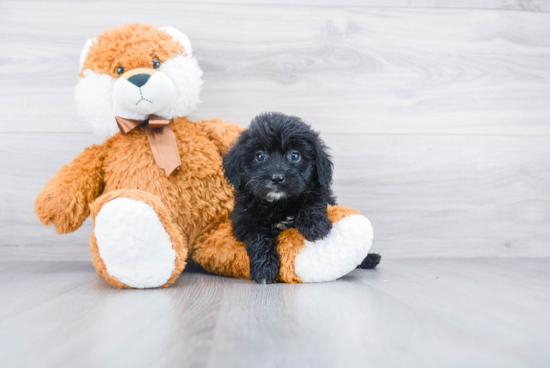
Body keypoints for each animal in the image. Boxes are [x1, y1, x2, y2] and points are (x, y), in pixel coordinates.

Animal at [223, 113, 380, 284]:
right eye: (260, 156)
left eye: (295, 155)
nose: (277, 178)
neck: (279, 205)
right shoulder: (244, 221)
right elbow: (259, 237)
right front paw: (264, 269)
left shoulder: (319, 192)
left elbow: (313, 201)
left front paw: (315, 226)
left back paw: (369, 259)